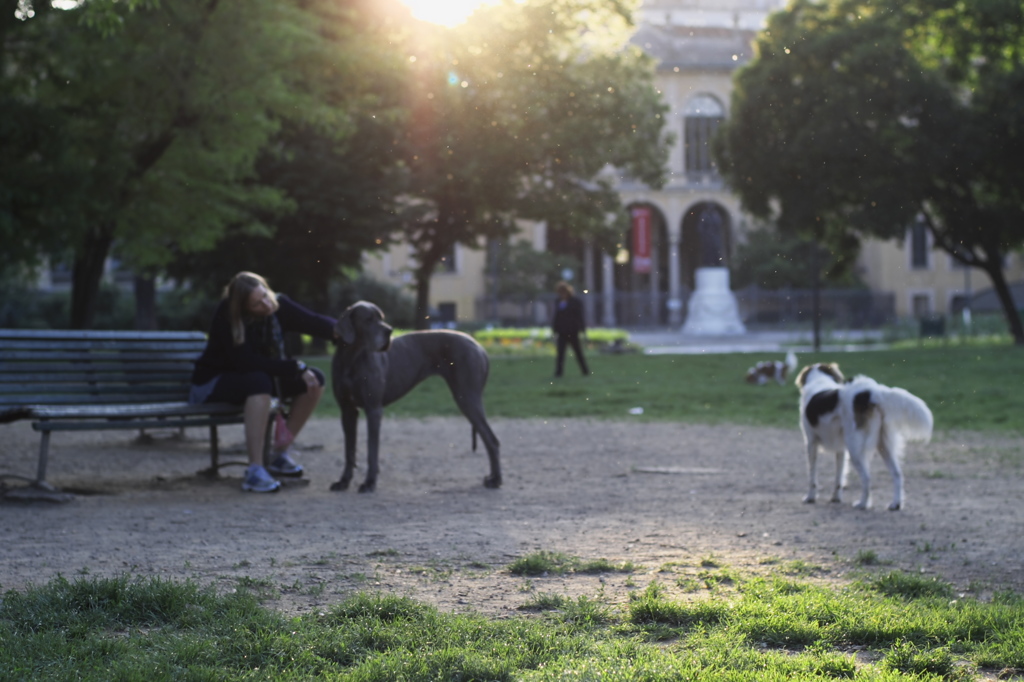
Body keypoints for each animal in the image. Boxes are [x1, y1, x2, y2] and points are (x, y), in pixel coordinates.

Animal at [329, 301, 501, 491]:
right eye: (368, 320)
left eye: (381, 318)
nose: (389, 331)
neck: (351, 358)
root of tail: (479, 346)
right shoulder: (347, 411)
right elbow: (349, 450)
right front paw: (343, 481)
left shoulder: (373, 409)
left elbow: (371, 450)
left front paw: (369, 482)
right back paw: (492, 477)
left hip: (467, 397)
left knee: (492, 440)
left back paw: (496, 480)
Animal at [794, 360, 933, 509]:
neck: (819, 380)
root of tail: (870, 393)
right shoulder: (841, 449)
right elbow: (839, 476)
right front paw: (836, 498)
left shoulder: (811, 443)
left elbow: (812, 476)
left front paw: (810, 497)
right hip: (883, 446)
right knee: (897, 474)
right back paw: (895, 504)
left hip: (855, 449)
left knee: (867, 477)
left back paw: (863, 504)